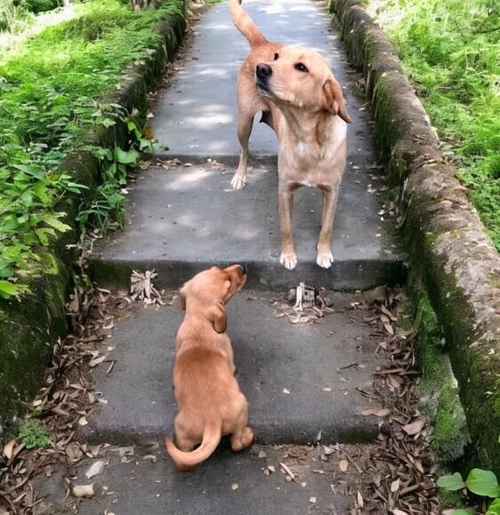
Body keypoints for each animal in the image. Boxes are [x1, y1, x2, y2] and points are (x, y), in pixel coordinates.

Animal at [165, 266, 254, 472]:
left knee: (184, 458)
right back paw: (248, 436)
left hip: (181, 429)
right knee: (236, 443)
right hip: (242, 405)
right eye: (228, 285)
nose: (243, 267)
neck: (199, 321)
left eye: (217, 268)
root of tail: (212, 421)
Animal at [229, 0, 352, 272]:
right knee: (244, 150)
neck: (307, 139)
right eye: (277, 58)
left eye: (301, 67)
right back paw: (240, 176)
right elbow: (286, 227)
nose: (262, 68)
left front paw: (323, 252)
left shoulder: (333, 190)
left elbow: (327, 227)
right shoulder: (285, 190)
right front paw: (288, 254)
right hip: (243, 121)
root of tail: (262, 44)